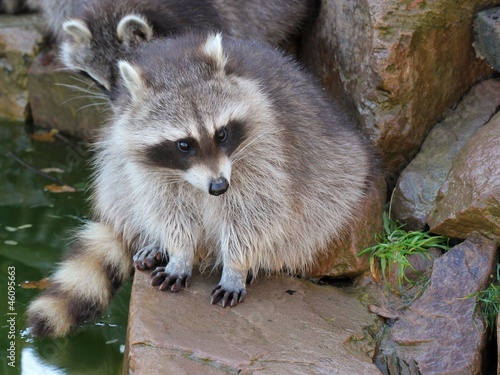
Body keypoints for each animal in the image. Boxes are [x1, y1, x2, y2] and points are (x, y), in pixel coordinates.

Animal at [26, 32, 372, 338]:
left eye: (222, 133)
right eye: (184, 144)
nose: (219, 187)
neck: (176, 66)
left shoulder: (266, 151)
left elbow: (253, 214)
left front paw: (236, 265)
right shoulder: (144, 162)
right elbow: (166, 208)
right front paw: (179, 251)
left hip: (336, 173)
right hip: (114, 151)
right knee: (116, 182)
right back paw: (153, 240)